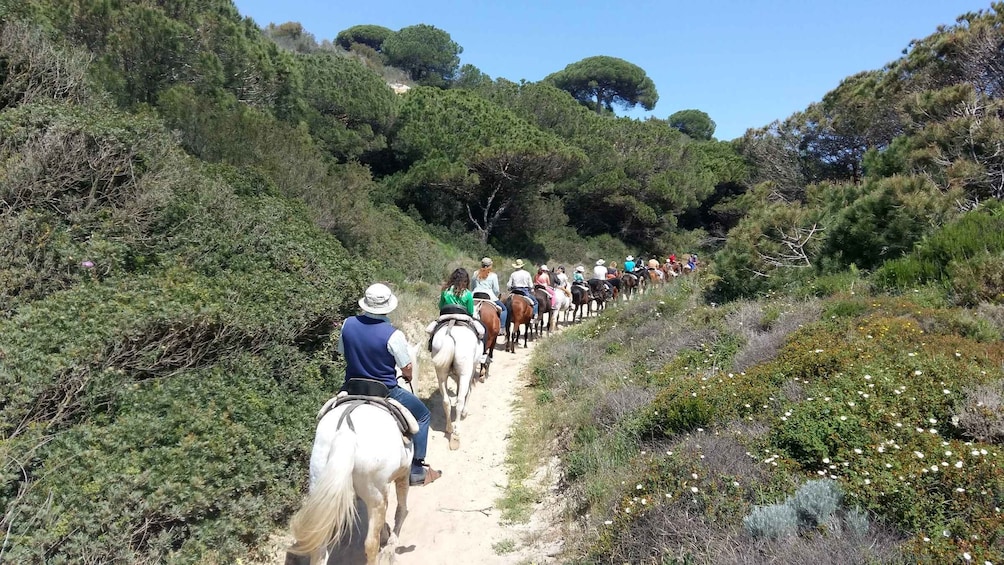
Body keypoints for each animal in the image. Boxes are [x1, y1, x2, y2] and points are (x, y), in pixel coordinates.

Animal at [287, 347, 419, 561]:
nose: (410, 378)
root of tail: (346, 431)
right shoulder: (402, 473)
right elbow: (401, 506)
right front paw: (392, 541)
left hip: (319, 482)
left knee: (320, 548)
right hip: (376, 496)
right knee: (370, 544)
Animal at [429, 323, 479, 451]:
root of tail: (449, 333)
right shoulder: (470, 370)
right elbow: (468, 391)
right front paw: (465, 412)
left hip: (441, 374)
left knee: (446, 401)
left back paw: (449, 427)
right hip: (465, 372)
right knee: (460, 401)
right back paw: (456, 433)